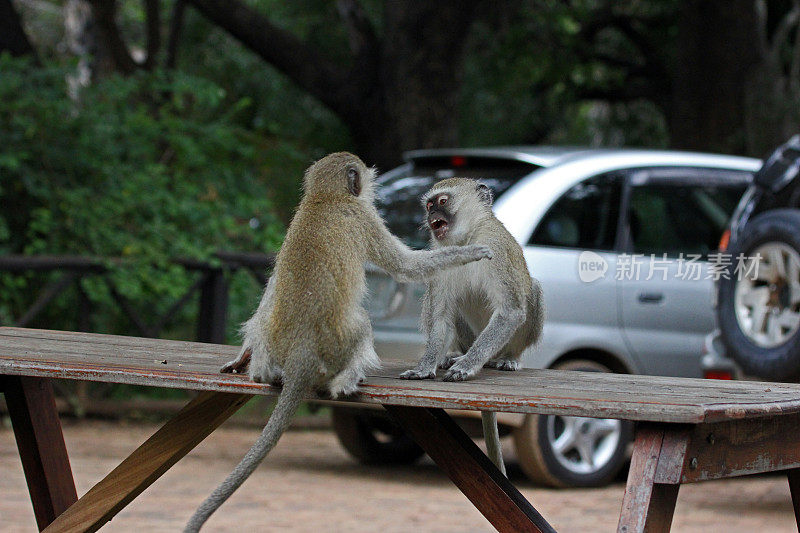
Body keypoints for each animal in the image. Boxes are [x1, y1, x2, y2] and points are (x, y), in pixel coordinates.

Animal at [400, 177, 544, 472]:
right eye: (429, 204)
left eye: (442, 201)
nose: (431, 215)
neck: (466, 239)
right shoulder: (440, 256)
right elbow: (441, 317)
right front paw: (425, 366)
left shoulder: (496, 248)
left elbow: (510, 312)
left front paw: (467, 366)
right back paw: (452, 355)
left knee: (530, 290)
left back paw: (506, 357)